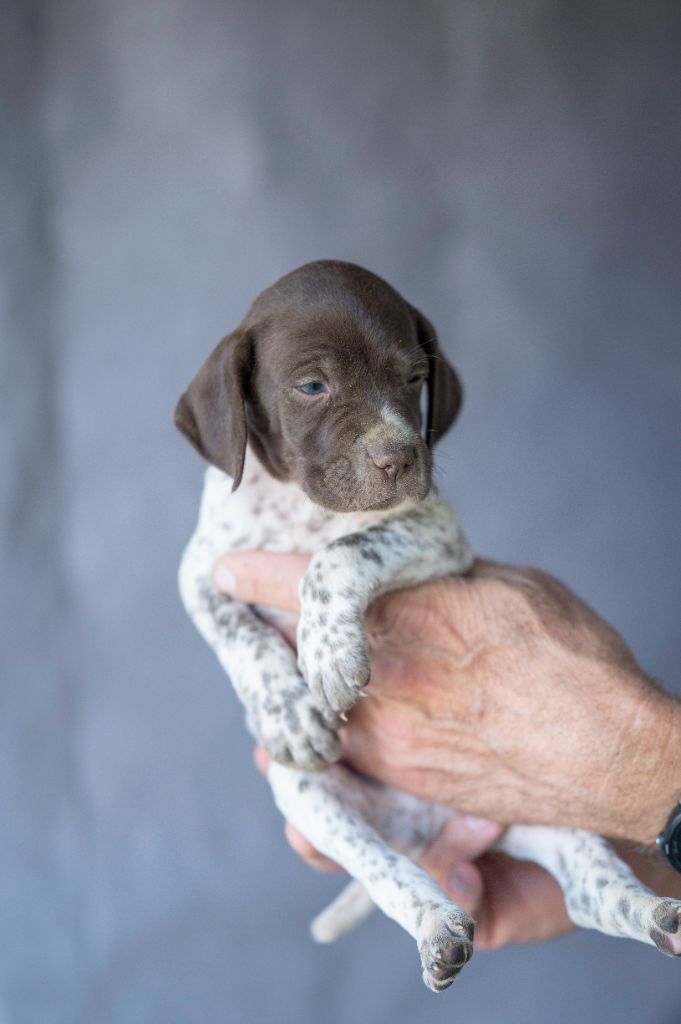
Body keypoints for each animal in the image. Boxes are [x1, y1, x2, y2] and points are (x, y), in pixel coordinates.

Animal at [176, 260, 679, 995]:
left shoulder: (435, 530)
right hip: (309, 797)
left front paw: (327, 649)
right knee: (387, 869)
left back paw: (651, 914)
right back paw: (436, 924)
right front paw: (287, 712)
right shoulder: (202, 569)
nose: (399, 458)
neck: (302, 507)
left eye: (414, 379)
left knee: (589, 891)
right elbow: (235, 633)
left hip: (543, 807)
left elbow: (339, 553)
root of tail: (425, 826)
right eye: (311, 386)